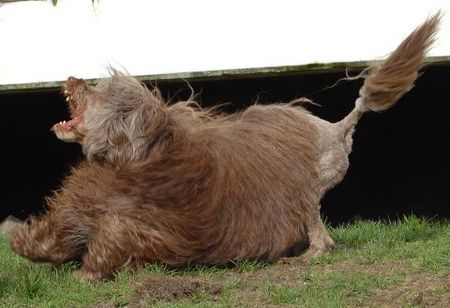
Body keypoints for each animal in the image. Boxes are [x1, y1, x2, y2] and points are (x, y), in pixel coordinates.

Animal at [9, 14, 440, 282]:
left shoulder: (150, 223)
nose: (72, 77)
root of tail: (337, 128)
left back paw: (302, 257)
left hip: (305, 192)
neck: (143, 155)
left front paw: (87, 271)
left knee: (324, 240)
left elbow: (111, 240)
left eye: (98, 93)